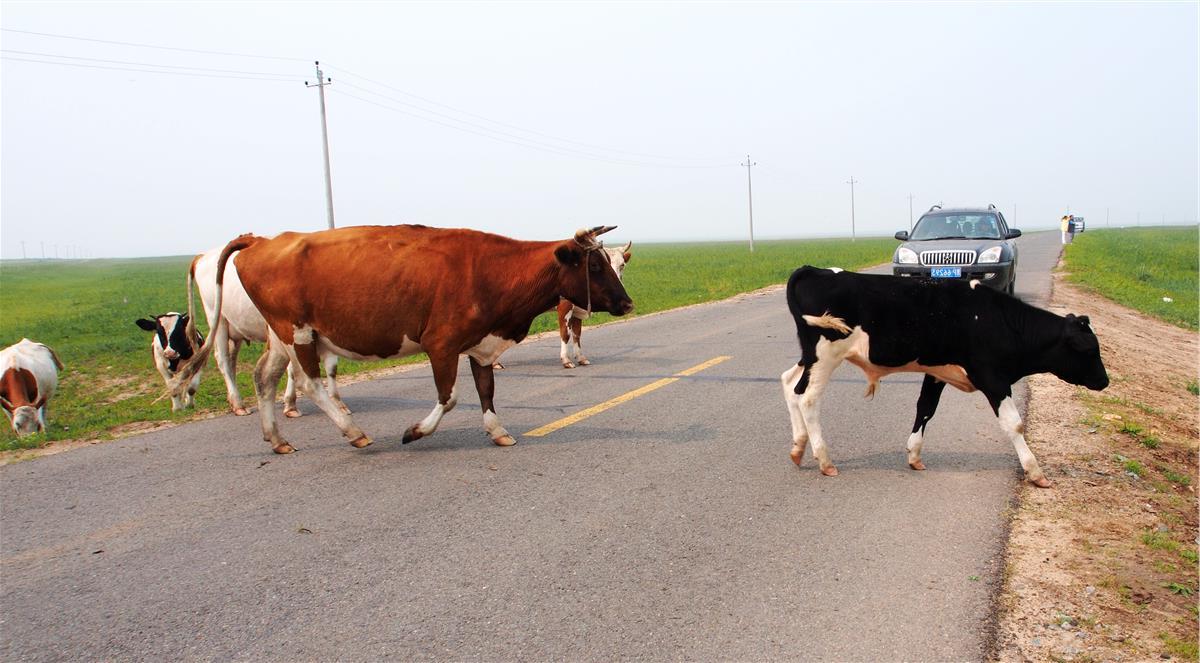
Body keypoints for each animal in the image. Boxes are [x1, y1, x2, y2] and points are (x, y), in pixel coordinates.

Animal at [171, 225, 638, 454]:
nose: (628, 302)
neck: (491, 270)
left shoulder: (480, 343)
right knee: (309, 383)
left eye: (612, 263)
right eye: (594, 266)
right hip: (296, 331)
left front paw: (498, 431)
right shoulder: (442, 343)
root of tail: (262, 240)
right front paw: (415, 432)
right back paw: (353, 431)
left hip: (279, 335)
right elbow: (449, 397)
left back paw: (278, 439)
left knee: (264, 378)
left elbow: (486, 391)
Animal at [782, 264, 1108, 487]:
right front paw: (1035, 472)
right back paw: (824, 460)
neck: (999, 320)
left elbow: (925, 409)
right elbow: (1014, 424)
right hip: (826, 356)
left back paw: (798, 448)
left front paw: (914, 456)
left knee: (790, 384)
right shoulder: (992, 378)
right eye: (1090, 349)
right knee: (808, 398)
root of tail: (816, 270)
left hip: (809, 357)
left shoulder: (937, 372)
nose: (1105, 382)